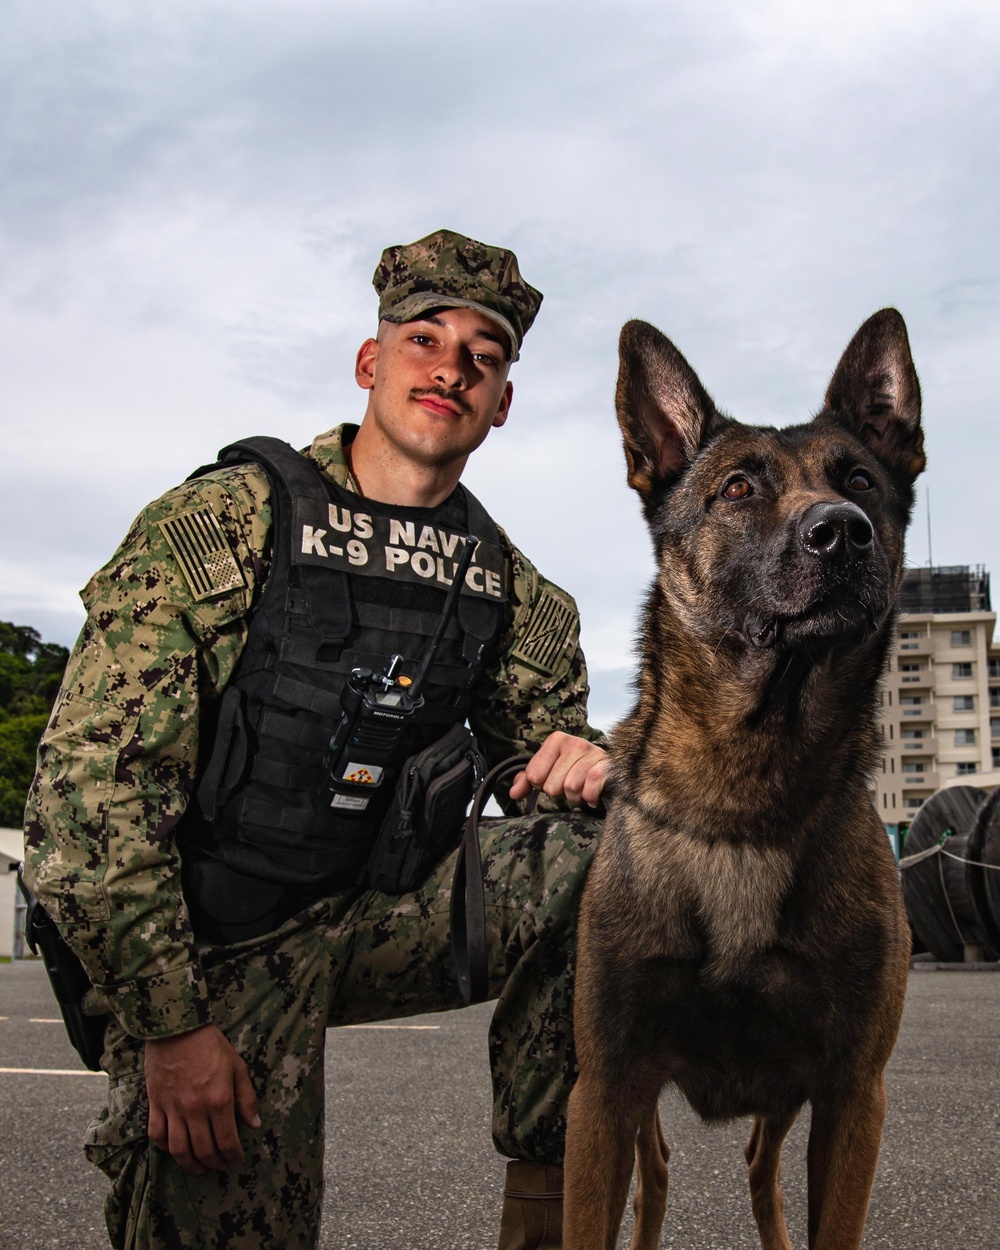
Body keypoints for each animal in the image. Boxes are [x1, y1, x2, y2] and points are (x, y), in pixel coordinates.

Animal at [567, 312, 925, 1250]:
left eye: (861, 480)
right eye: (736, 488)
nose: (842, 530)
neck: (745, 793)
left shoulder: (852, 1096)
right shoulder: (604, 1091)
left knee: (761, 1167)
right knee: (657, 1174)